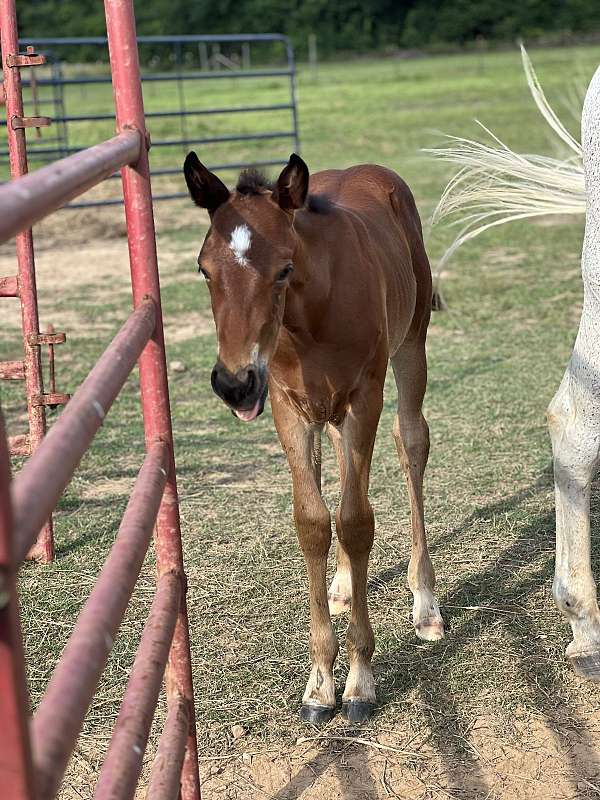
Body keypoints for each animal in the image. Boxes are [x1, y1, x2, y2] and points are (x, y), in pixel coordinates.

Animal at [183, 152, 444, 723]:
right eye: (204, 269)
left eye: (284, 269)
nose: (234, 383)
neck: (313, 314)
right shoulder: (288, 406)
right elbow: (314, 523)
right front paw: (321, 681)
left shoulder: (363, 398)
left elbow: (356, 520)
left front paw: (360, 681)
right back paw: (345, 585)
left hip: (411, 344)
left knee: (411, 443)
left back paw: (425, 603)